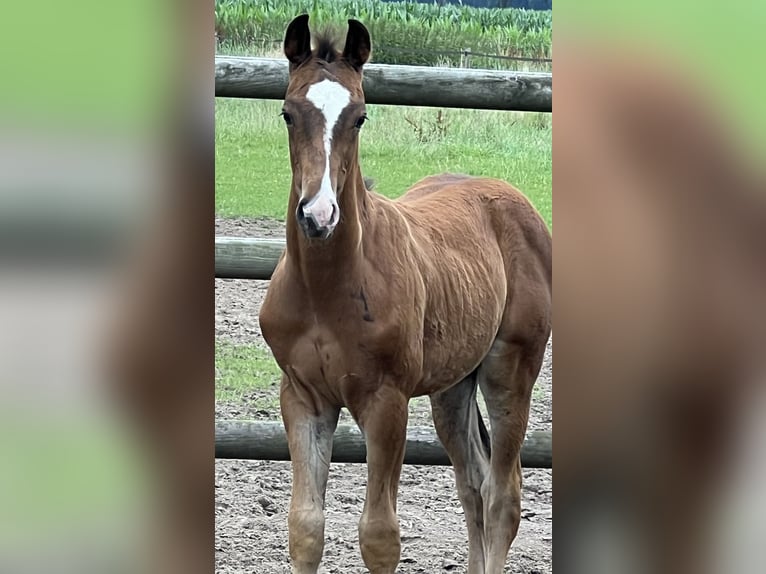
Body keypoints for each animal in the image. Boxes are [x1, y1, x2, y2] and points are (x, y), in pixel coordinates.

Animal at [260, 14, 556, 574]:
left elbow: (380, 535)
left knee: (504, 495)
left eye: (359, 117)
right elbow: (305, 528)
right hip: (452, 385)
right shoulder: (303, 397)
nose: (319, 215)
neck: (328, 288)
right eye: (288, 113)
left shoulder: (386, 402)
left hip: (511, 369)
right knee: (474, 484)